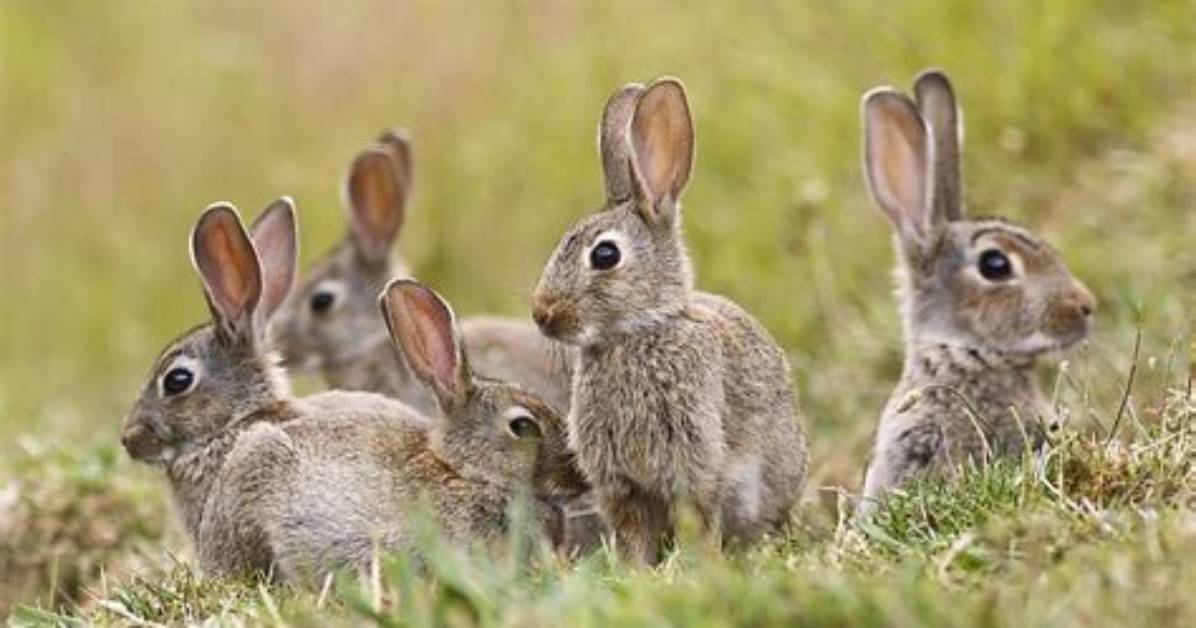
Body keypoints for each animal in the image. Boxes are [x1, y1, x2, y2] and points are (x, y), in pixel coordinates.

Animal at [531, 78, 809, 564]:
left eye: (605, 254)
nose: (541, 313)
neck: (636, 332)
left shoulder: (694, 461)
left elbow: (698, 519)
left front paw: (703, 566)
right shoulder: (621, 484)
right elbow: (633, 533)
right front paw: (637, 570)